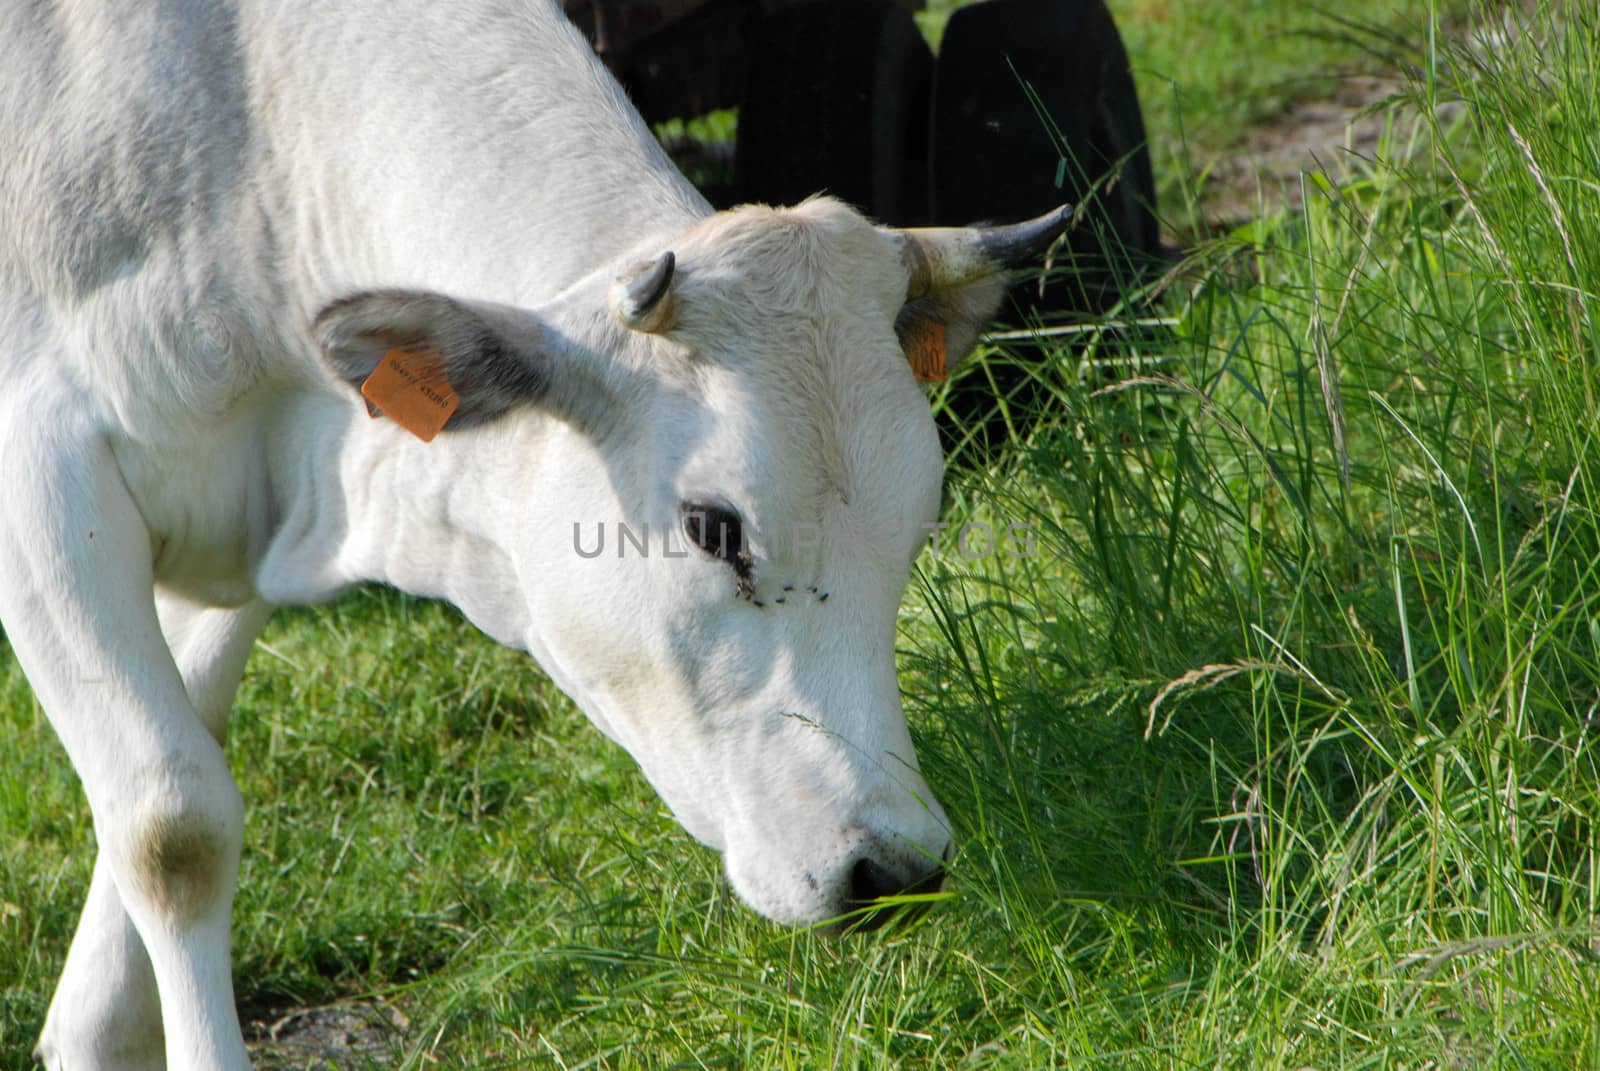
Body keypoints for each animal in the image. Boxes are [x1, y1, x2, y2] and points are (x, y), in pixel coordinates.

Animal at [3, 4, 1075, 1062]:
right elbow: (174, 826)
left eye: (915, 528)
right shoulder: (43, 475)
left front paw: (97, 1030)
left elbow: (175, 768)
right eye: (712, 527)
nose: (895, 864)